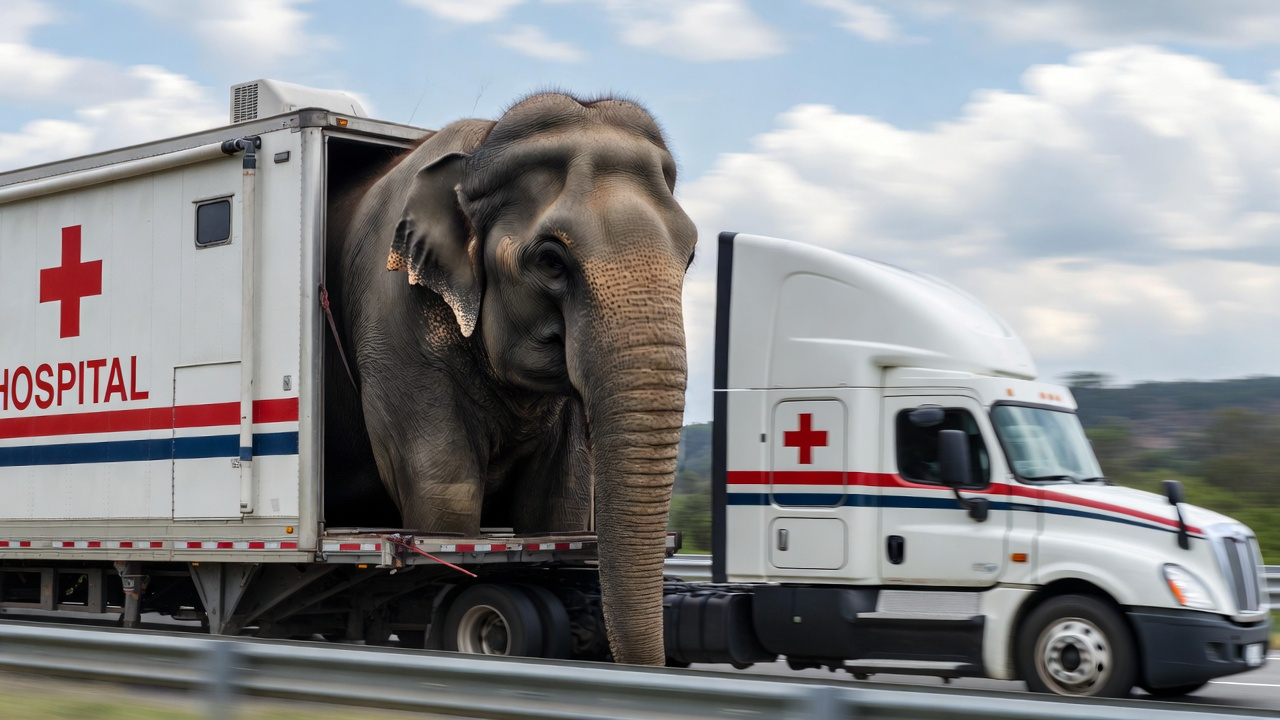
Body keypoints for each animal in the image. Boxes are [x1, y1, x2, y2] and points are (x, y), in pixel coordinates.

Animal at [322, 92, 697, 666]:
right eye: (550, 260)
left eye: (692, 255)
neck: (479, 150)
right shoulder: (393, 321)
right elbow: (443, 491)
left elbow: (559, 501)